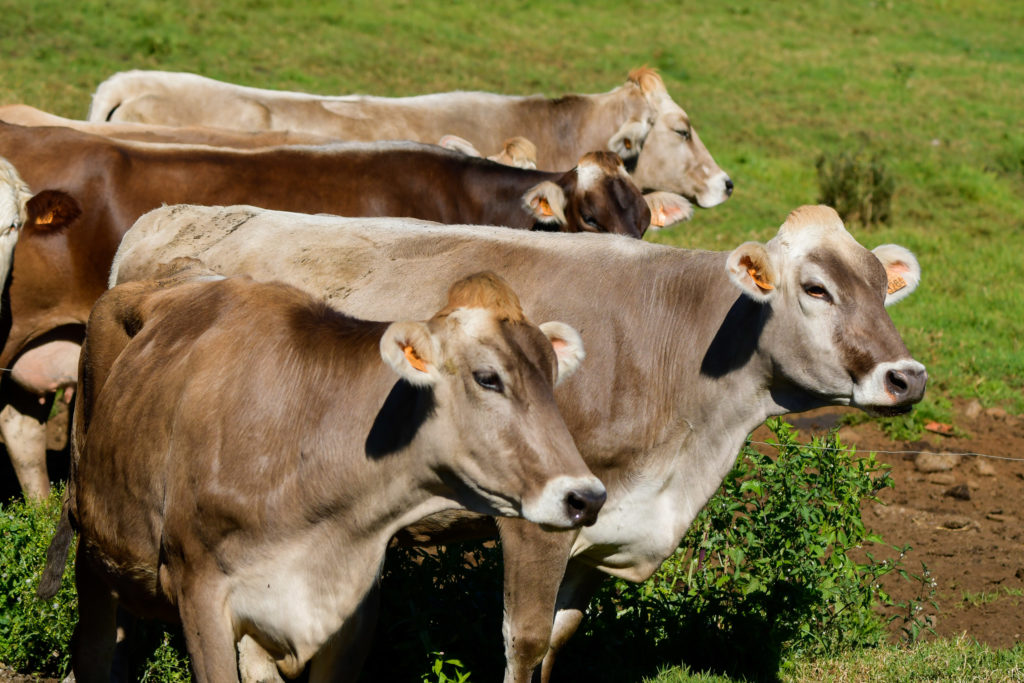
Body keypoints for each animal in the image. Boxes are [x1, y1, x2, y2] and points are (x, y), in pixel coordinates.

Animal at [37, 269, 606, 682]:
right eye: (488, 378)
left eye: (553, 377)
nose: (587, 496)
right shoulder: (199, 590)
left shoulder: (348, 612)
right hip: (92, 539)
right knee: (92, 649)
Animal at [111, 202, 927, 682]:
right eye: (815, 288)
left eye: (883, 289)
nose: (907, 376)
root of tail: (162, 219)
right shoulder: (533, 520)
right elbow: (525, 639)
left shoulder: (598, 526)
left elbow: (559, 641)